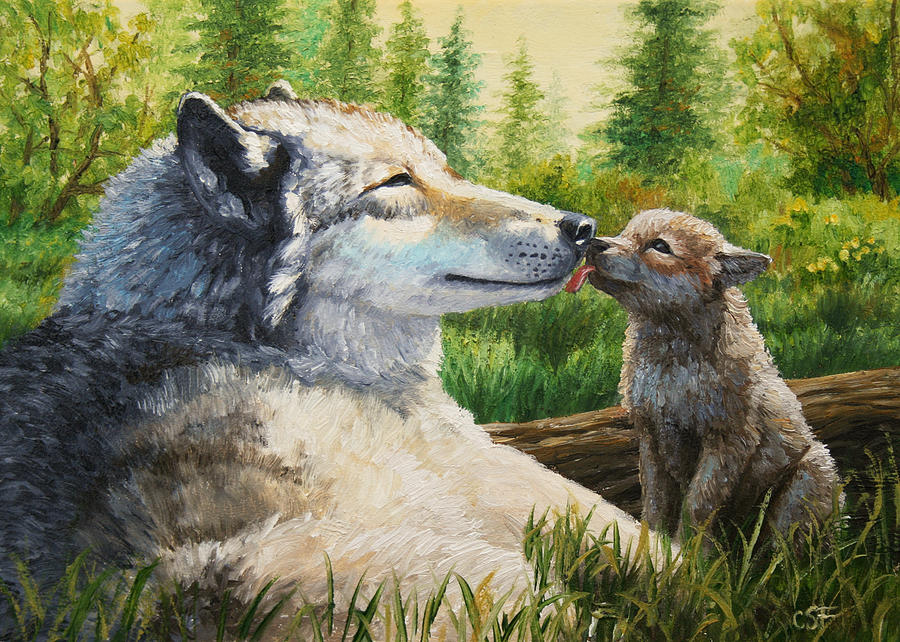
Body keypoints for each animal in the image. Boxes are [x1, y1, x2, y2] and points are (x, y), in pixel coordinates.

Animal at [566, 209, 840, 542]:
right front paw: (653, 544)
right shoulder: (652, 435)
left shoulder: (728, 440)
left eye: (660, 246)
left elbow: (697, 506)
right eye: (625, 233)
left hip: (807, 481)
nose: (592, 244)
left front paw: (687, 552)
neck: (672, 362)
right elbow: (656, 503)